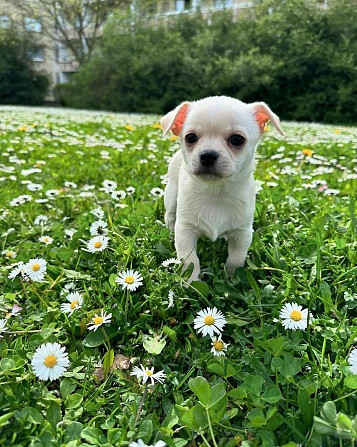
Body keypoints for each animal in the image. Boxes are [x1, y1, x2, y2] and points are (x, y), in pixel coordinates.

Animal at [161, 96, 280, 282]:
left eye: (237, 139)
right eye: (190, 138)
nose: (208, 155)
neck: (216, 193)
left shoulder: (242, 233)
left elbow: (235, 259)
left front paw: (231, 279)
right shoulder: (185, 231)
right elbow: (190, 260)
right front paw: (192, 283)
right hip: (172, 194)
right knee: (170, 213)